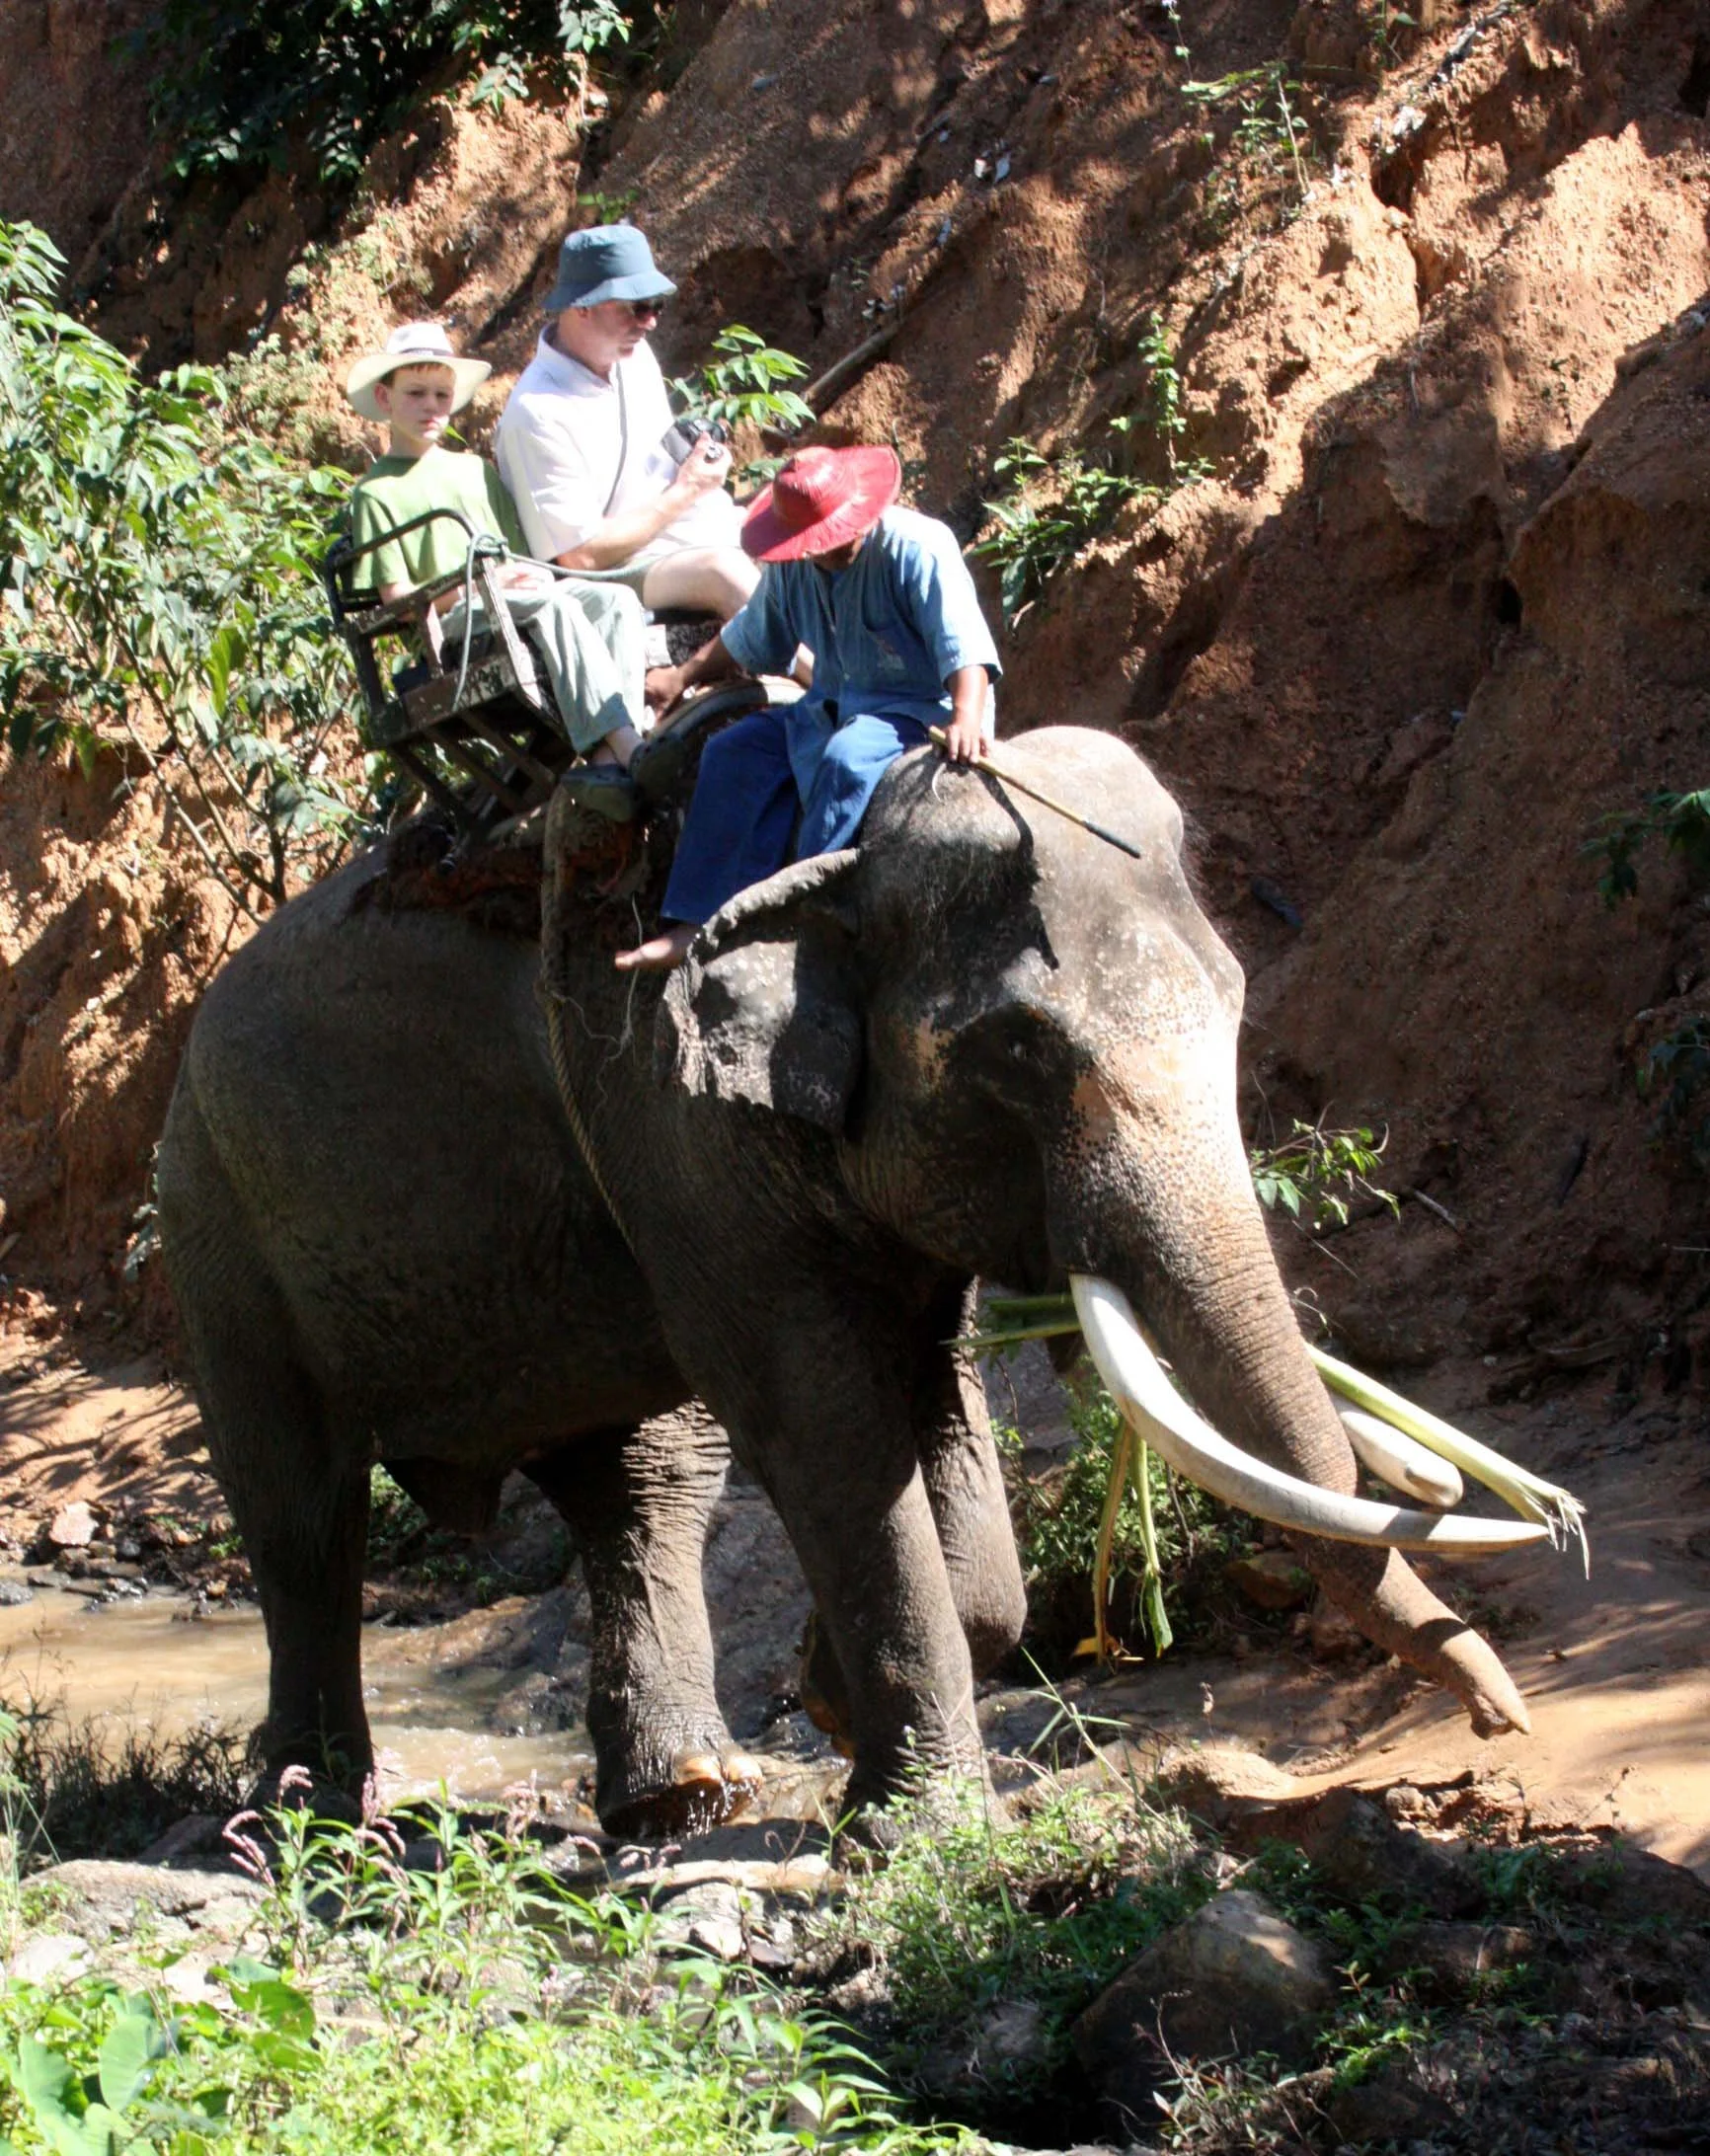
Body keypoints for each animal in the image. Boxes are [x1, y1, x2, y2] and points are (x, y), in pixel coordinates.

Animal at [157, 725, 1531, 1834]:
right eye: (1018, 1051)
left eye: (1237, 997)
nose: (1500, 1721)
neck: (835, 847)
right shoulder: (675, 1109)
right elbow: (821, 1415)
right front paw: (911, 1827)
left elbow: (931, 1395)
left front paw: (829, 1698)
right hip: (214, 1218)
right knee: (301, 1509)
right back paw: (308, 1819)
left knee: (640, 1484)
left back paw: (680, 1798)